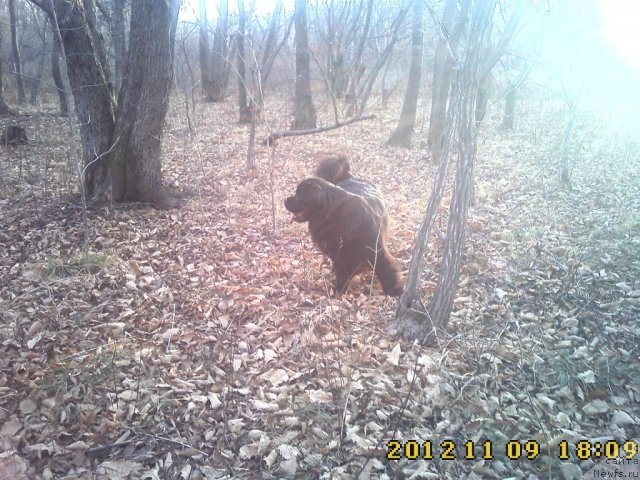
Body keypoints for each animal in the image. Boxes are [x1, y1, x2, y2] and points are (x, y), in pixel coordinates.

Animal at [284, 158, 402, 294]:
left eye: (298, 195)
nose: (284, 200)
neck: (334, 214)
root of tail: (349, 176)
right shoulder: (341, 256)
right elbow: (342, 273)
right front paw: (340, 288)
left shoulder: (376, 250)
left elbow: (387, 269)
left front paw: (394, 290)